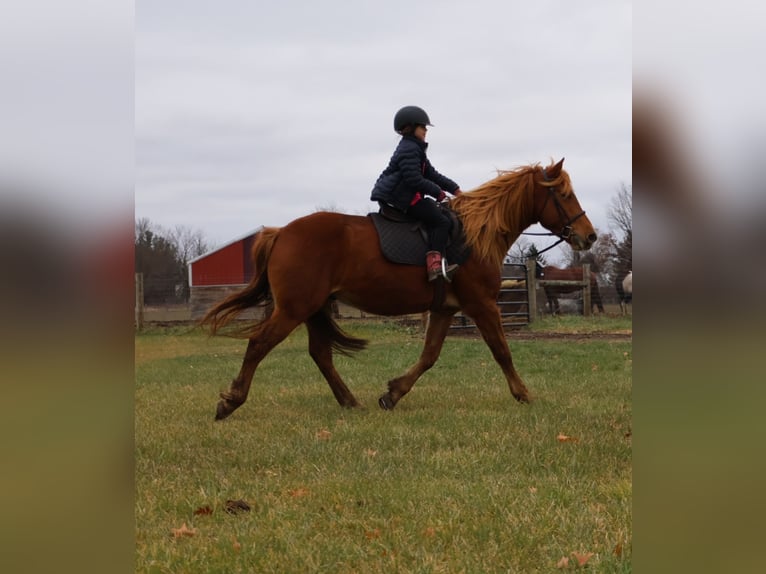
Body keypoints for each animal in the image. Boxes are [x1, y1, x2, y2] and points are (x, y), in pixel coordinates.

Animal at [201, 158, 597, 420]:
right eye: (564, 194)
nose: (589, 236)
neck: (476, 235)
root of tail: (282, 232)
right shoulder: (481, 304)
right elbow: (502, 351)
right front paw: (523, 393)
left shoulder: (445, 309)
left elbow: (429, 356)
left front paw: (393, 394)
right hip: (294, 308)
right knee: (259, 344)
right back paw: (230, 401)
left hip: (313, 308)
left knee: (321, 354)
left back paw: (350, 401)